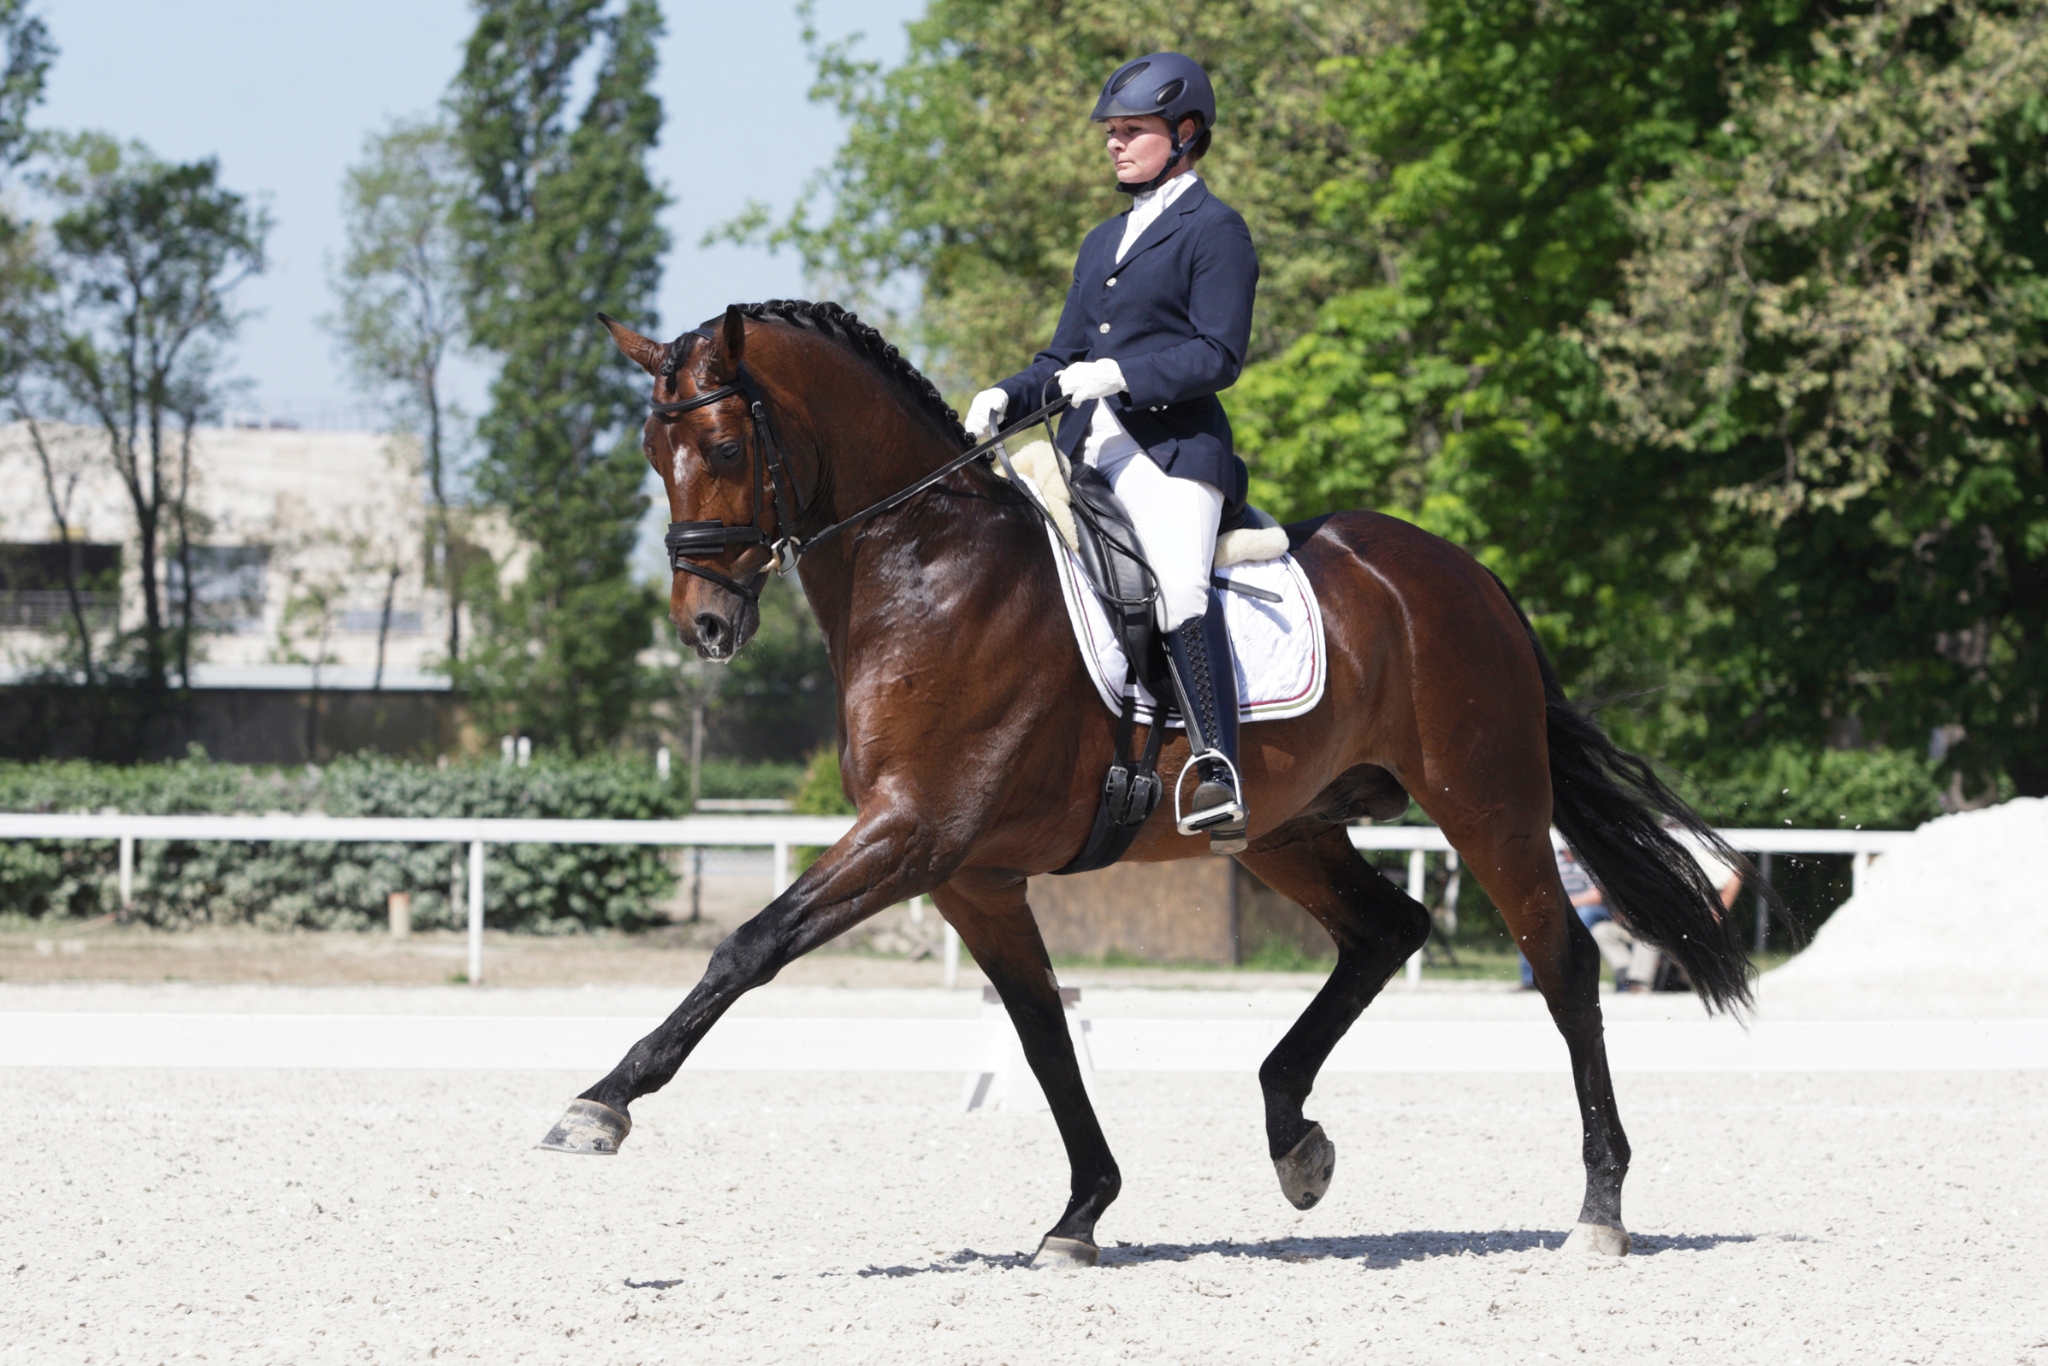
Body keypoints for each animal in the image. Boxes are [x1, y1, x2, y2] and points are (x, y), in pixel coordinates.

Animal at [539, 299, 1755, 1268]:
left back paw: (1598, 1209)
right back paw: (1293, 1138)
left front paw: (599, 1105)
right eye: (651, 447)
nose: (703, 626)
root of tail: (1464, 572)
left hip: (1484, 799)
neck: (926, 569)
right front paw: (1081, 1214)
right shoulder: (971, 877)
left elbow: (747, 947)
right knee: (1387, 930)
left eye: (723, 440)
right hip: (1287, 827)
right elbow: (1040, 1037)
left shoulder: (910, 835)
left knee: (1562, 961)